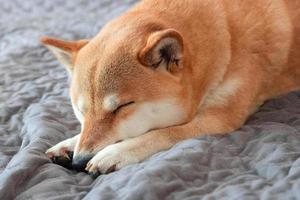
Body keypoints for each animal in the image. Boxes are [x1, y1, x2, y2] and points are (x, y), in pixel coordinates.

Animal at [41, 0, 300, 175]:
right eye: (81, 111)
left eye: (122, 107)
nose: (79, 162)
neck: (225, 36)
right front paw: (69, 143)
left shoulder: (219, 118)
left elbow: (164, 132)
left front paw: (118, 152)